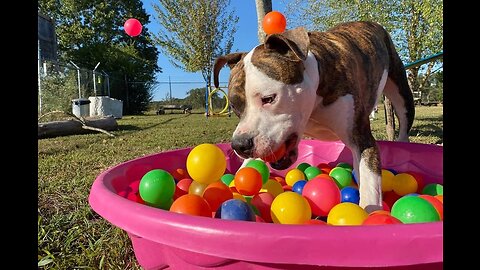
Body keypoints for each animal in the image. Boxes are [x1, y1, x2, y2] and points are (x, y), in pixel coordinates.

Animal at [212, 21, 414, 213]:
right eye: (235, 107)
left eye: (269, 98)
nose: (240, 144)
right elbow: (248, 165)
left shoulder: (362, 140)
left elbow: (371, 186)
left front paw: (369, 214)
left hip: (401, 92)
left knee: (404, 121)